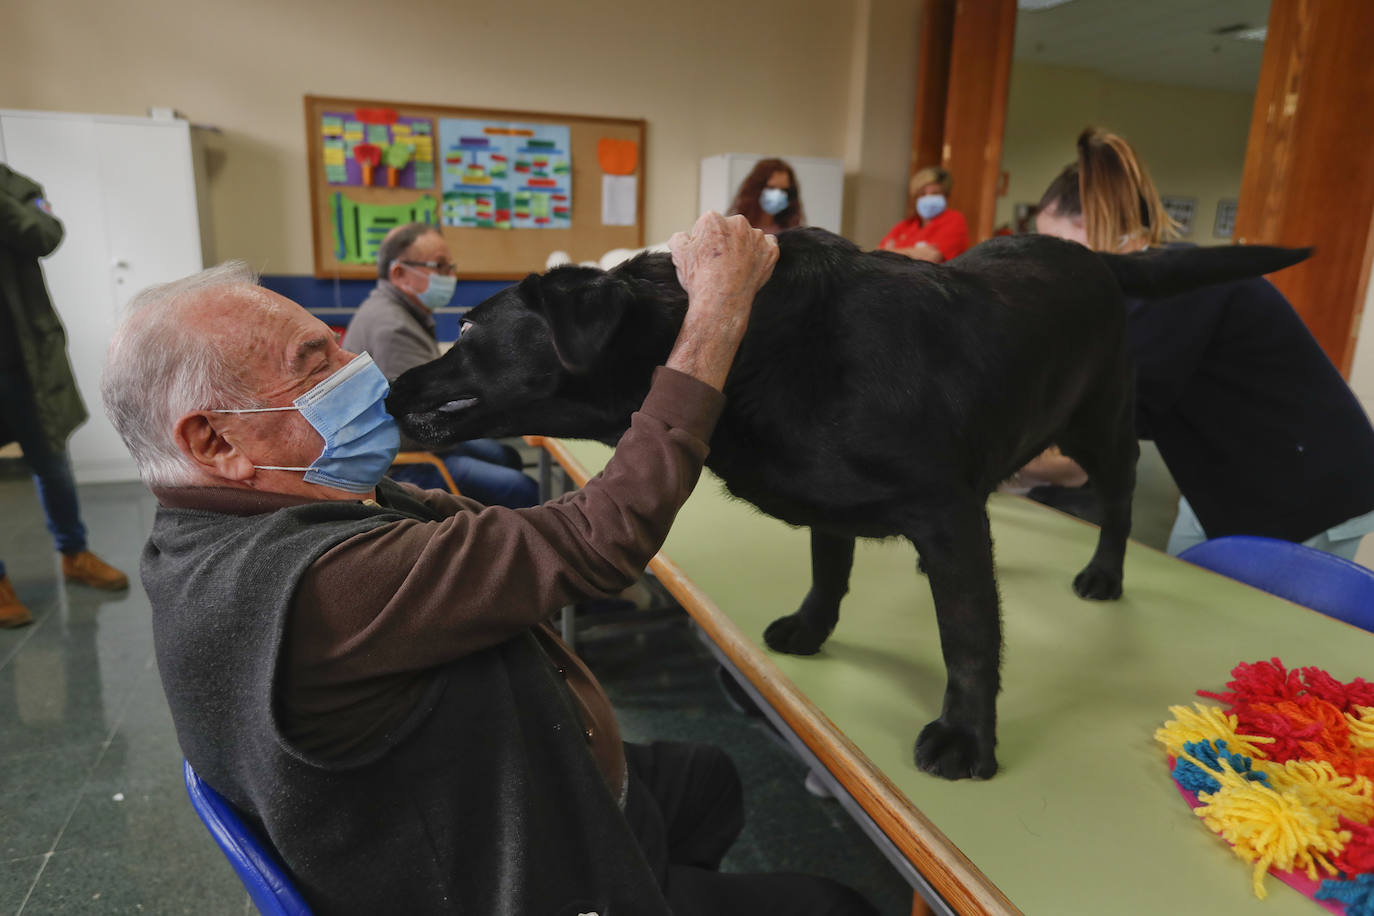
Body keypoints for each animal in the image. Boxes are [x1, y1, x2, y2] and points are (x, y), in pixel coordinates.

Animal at [387, 229, 1308, 780]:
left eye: (468, 334)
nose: (394, 385)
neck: (750, 344)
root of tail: (1100, 255)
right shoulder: (835, 503)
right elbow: (829, 566)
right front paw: (811, 627)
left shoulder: (947, 515)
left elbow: (969, 638)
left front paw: (968, 736)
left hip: (1099, 421)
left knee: (1116, 491)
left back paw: (1105, 573)